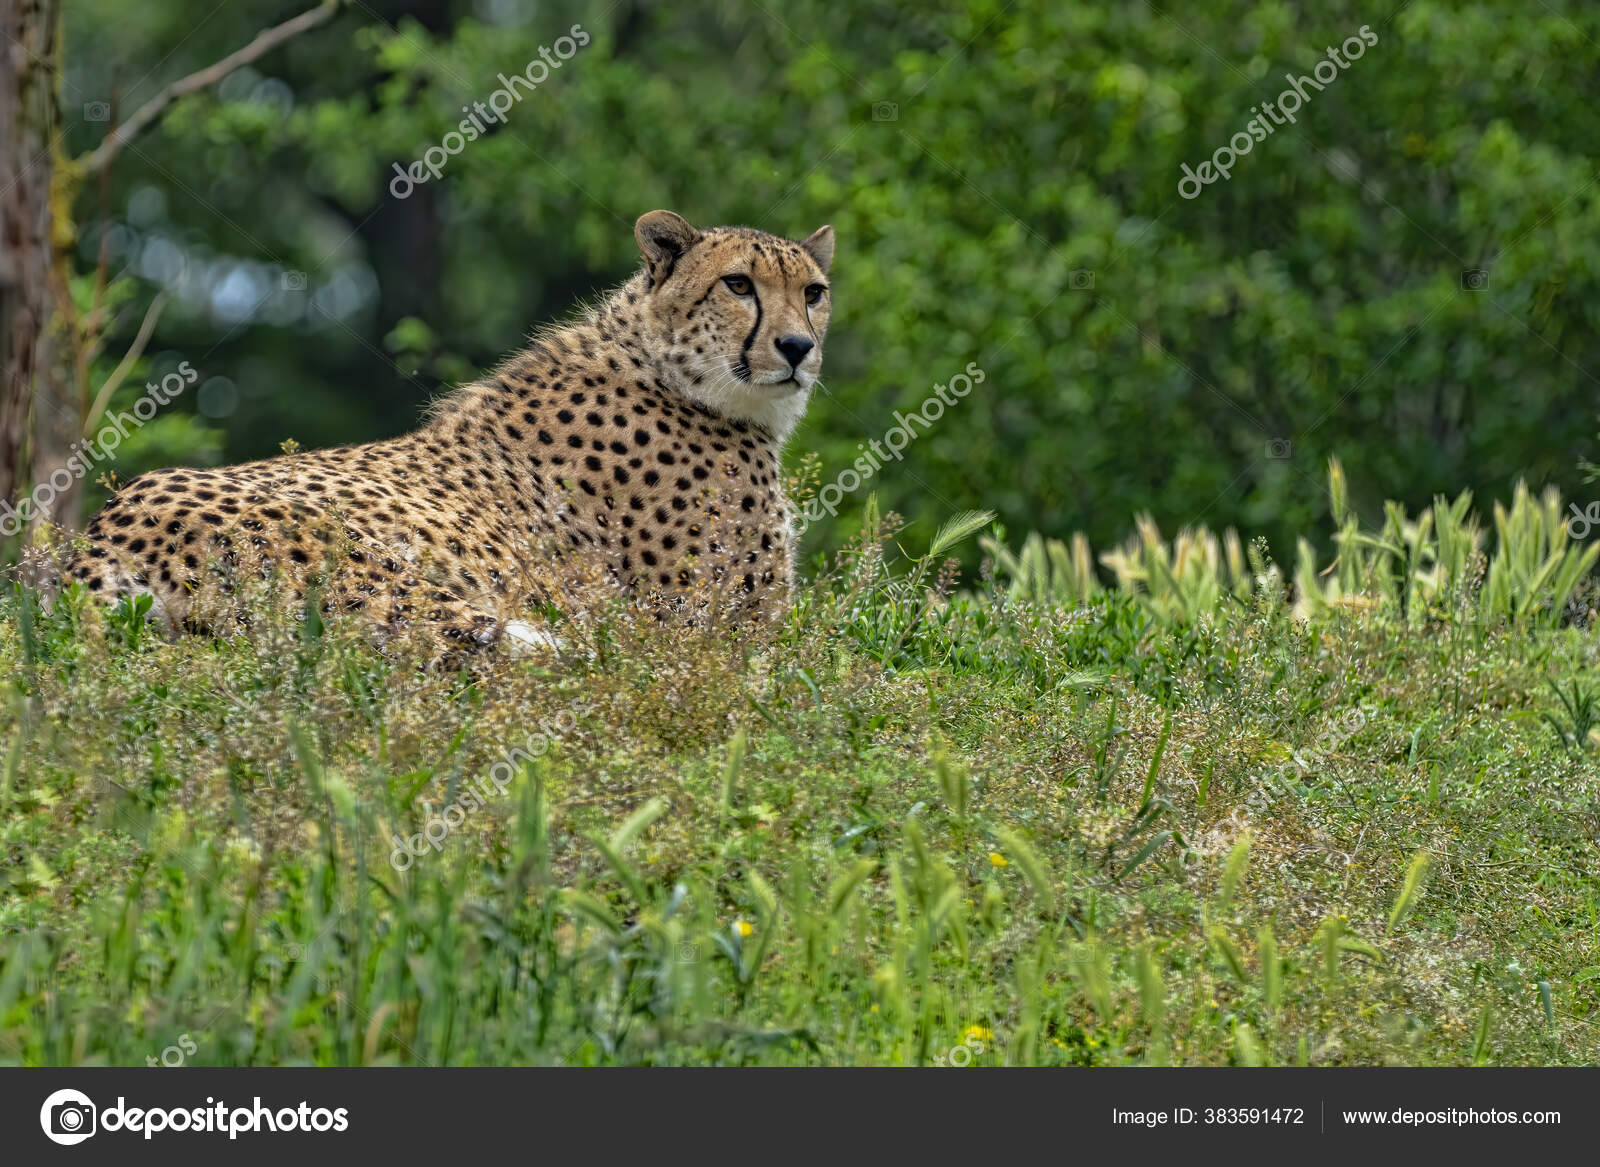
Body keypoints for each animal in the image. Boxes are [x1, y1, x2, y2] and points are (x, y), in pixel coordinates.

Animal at [61, 210, 835, 661]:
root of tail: (106, 528)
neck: (668, 365)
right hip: (392, 586)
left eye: (814, 292)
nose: (799, 347)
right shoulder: (725, 632)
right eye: (738, 284)